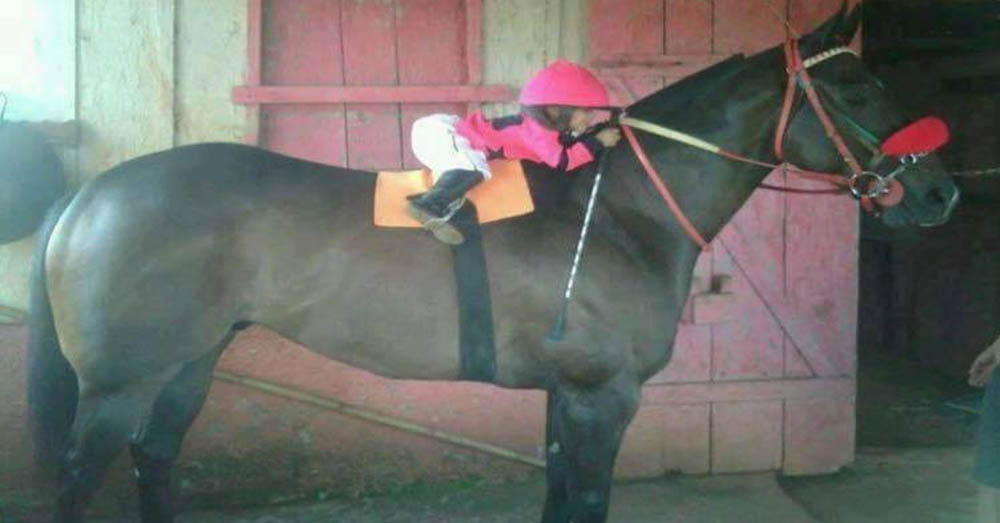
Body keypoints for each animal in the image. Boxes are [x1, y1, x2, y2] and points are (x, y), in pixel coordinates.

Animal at [23, 5, 956, 523]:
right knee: (75, 483)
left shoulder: (565, 396)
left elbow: (558, 500)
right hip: (117, 385)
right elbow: (585, 503)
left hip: (190, 362)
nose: (940, 191)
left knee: (155, 460)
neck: (617, 211)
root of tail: (93, 189)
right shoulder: (601, 398)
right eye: (860, 88)